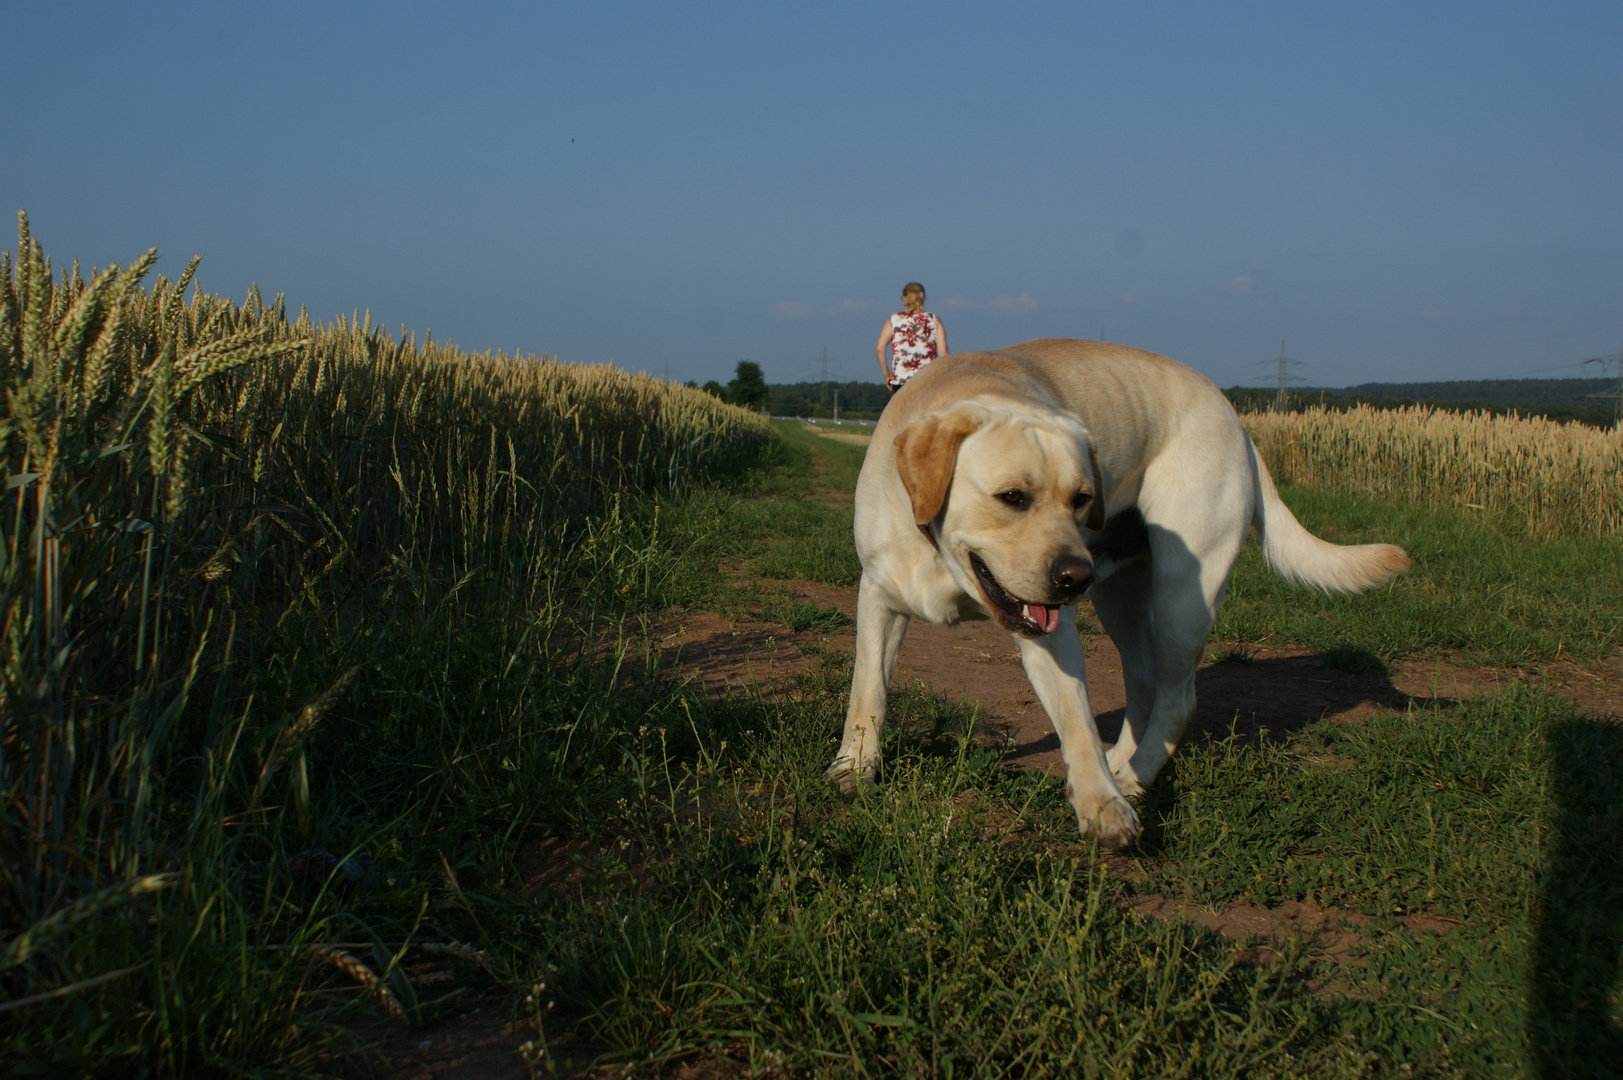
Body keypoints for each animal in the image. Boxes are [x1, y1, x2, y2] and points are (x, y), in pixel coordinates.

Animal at [824, 341, 1408, 844]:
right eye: (1012, 497)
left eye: (1081, 498)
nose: (1074, 577)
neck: (941, 555)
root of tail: (1235, 420)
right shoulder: (877, 597)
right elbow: (867, 692)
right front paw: (854, 768)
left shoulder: (1053, 635)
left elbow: (1077, 720)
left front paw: (1102, 804)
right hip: (1120, 603)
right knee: (1144, 686)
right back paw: (1122, 763)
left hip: (1183, 599)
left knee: (1177, 699)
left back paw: (1129, 779)